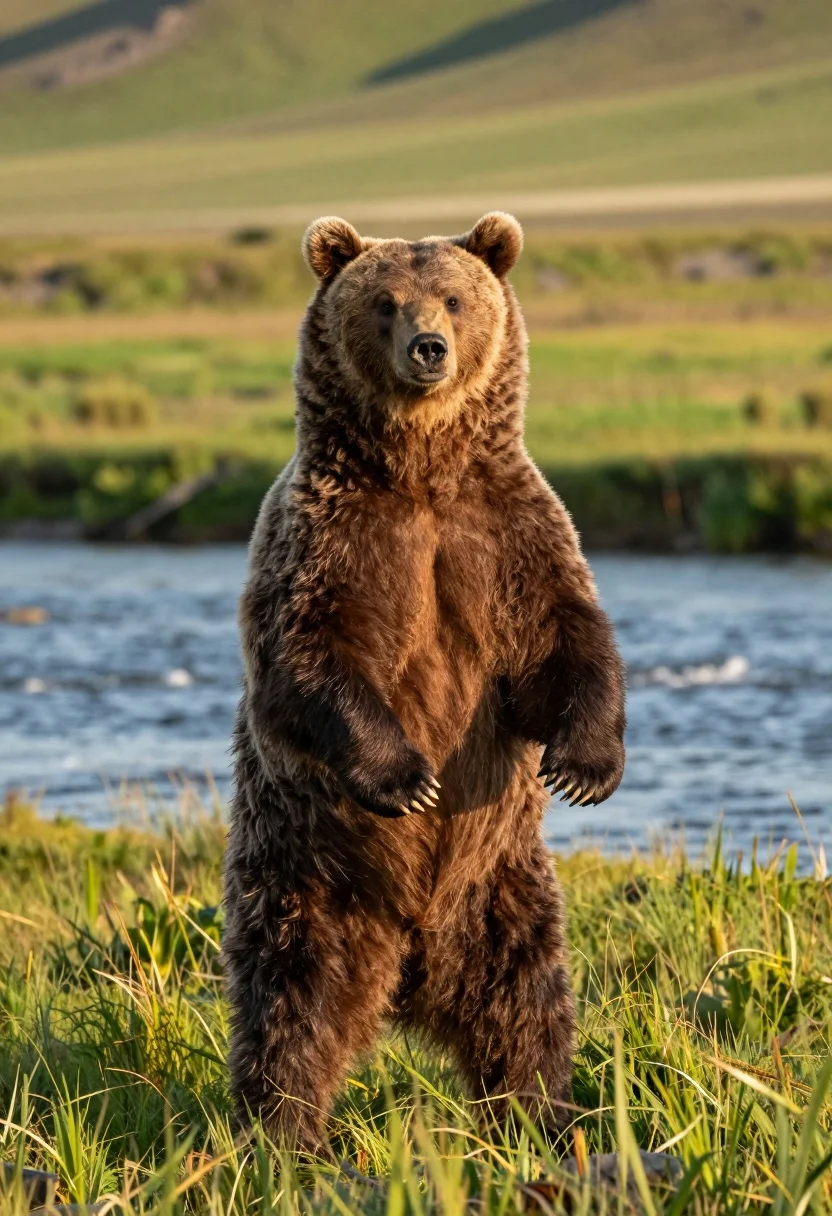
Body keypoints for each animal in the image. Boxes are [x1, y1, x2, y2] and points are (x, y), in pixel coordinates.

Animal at [222, 212, 626, 1152]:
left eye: (453, 297)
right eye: (384, 302)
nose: (429, 348)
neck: (420, 471)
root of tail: (409, 965)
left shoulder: (504, 534)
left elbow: (565, 640)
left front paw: (584, 765)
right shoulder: (329, 542)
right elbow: (310, 660)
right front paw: (406, 778)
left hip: (501, 887)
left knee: (527, 1008)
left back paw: (543, 1121)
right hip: (309, 878)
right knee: (290, 1009)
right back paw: (283, 1136)